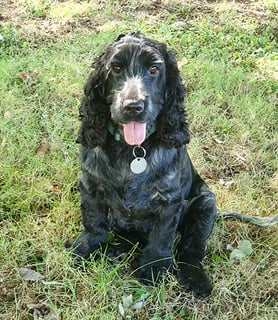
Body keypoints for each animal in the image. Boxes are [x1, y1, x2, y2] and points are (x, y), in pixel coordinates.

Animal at [69, 32, 217, 298]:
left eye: (154, 69)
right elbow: (93, 220)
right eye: (116, 68)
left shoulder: (169, 199)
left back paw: (195, 278)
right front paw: (86, 247)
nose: (133, 107)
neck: (132, 150)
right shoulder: (89, 184)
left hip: (206, 204)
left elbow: (162, 236)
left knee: (192, 248)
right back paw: (115, 248)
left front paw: (154, 267)